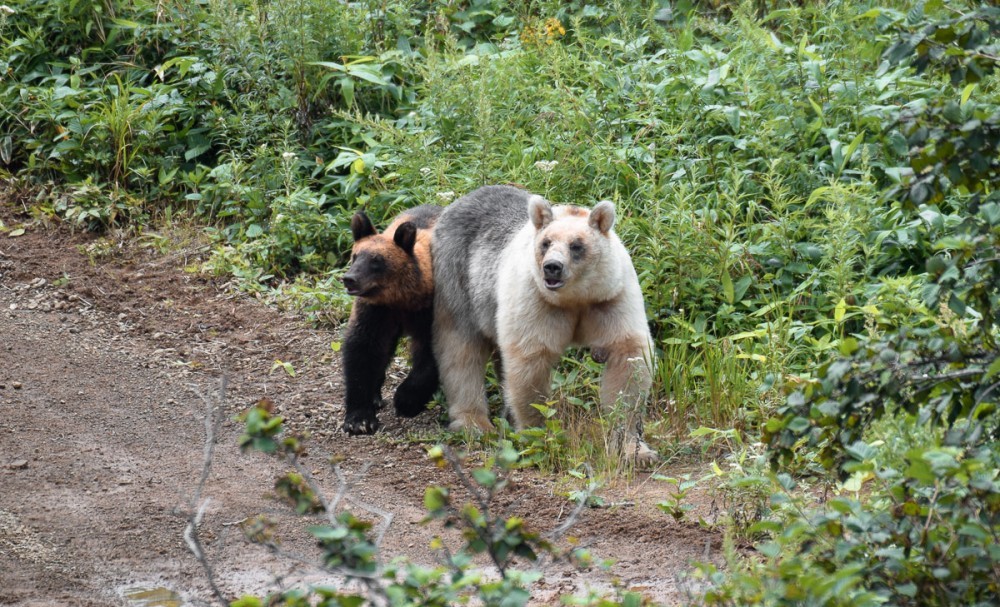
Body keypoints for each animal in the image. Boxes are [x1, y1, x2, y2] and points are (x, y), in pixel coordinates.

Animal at [340, 207, 442, 434]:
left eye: (376, 260)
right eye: (355, 255)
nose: (349, 279)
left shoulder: (430, 313)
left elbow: (431, 355)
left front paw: (406, 400)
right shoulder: (376, 312)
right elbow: (362, 351)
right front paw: (360, 418)